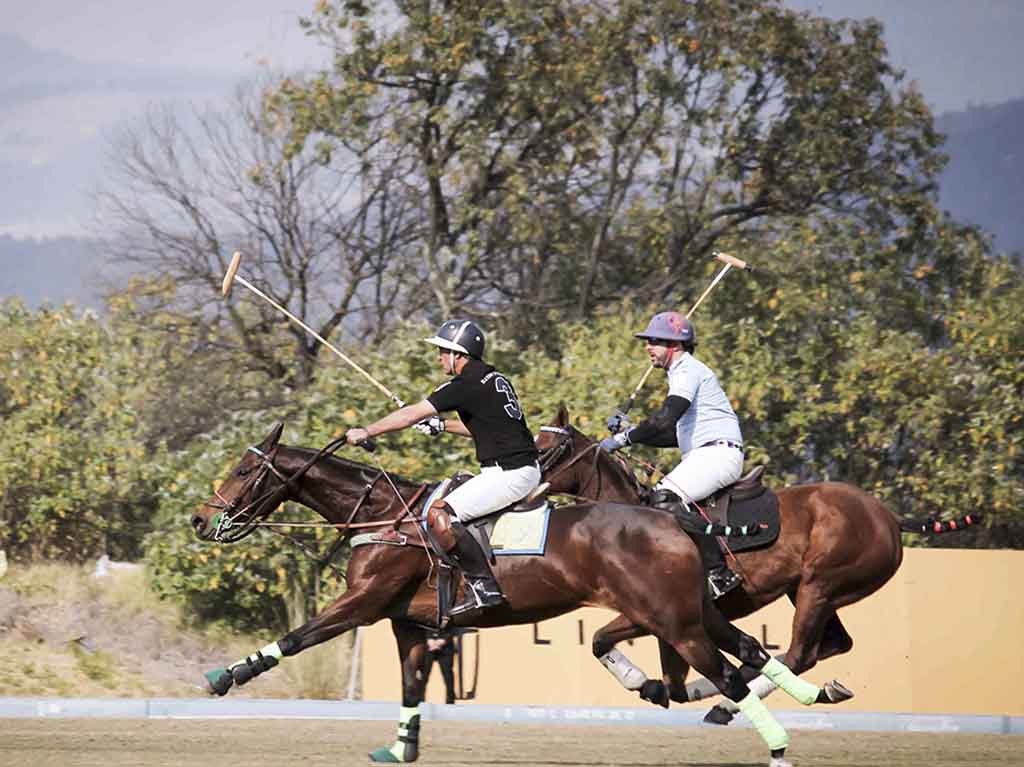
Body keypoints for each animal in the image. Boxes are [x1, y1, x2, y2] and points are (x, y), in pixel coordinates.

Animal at [188, 421, 843, 761]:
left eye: (244, 472)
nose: (199, 519)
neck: (381, 516)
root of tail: (673, 520)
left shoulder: (365, 603)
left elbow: (300, 636)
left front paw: (226, 675)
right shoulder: (410, 624)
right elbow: (411, 687)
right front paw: (401, 749)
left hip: (673, 621)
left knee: (729, 673)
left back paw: (778, 744)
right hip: (688, 610)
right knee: (748, 650)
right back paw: (813, 695)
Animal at [532, 407, 901, 725]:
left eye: (545, 449)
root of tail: (889, 518)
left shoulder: (658, 615)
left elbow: (611, 646)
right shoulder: (670, 623)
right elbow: (672, 685)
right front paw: (655, 686)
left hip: (819, 585)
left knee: (800, 654)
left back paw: (727, 706)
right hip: (811, 591)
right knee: (830, 645)